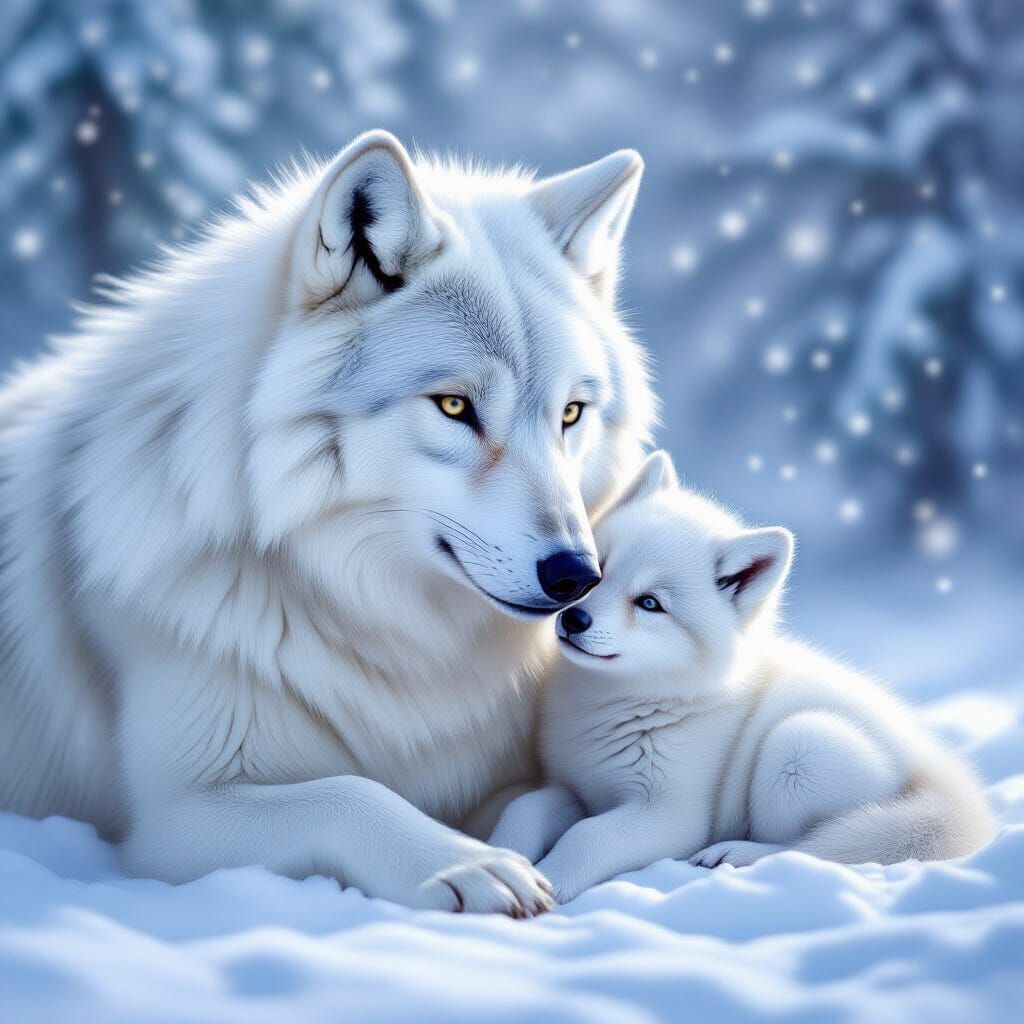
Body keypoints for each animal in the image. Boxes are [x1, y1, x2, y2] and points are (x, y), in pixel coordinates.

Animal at [0, 130, 655, 915]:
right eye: (455, 406)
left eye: (571, 414)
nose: (575, 576)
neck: (376, 616)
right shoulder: (174, 819)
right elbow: (350, 793)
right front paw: (463, 865)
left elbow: (547, 797)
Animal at [490, 452, 995, 903]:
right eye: (600, 570)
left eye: (650, 603)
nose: (573, 618)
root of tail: (935, 768)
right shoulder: (578, 788)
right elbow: (525, 808)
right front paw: (503, 860)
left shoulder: (669, 815)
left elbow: (587, 836)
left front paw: (550, 882)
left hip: (798, 750)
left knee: (811, 848)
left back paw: (737, 854)